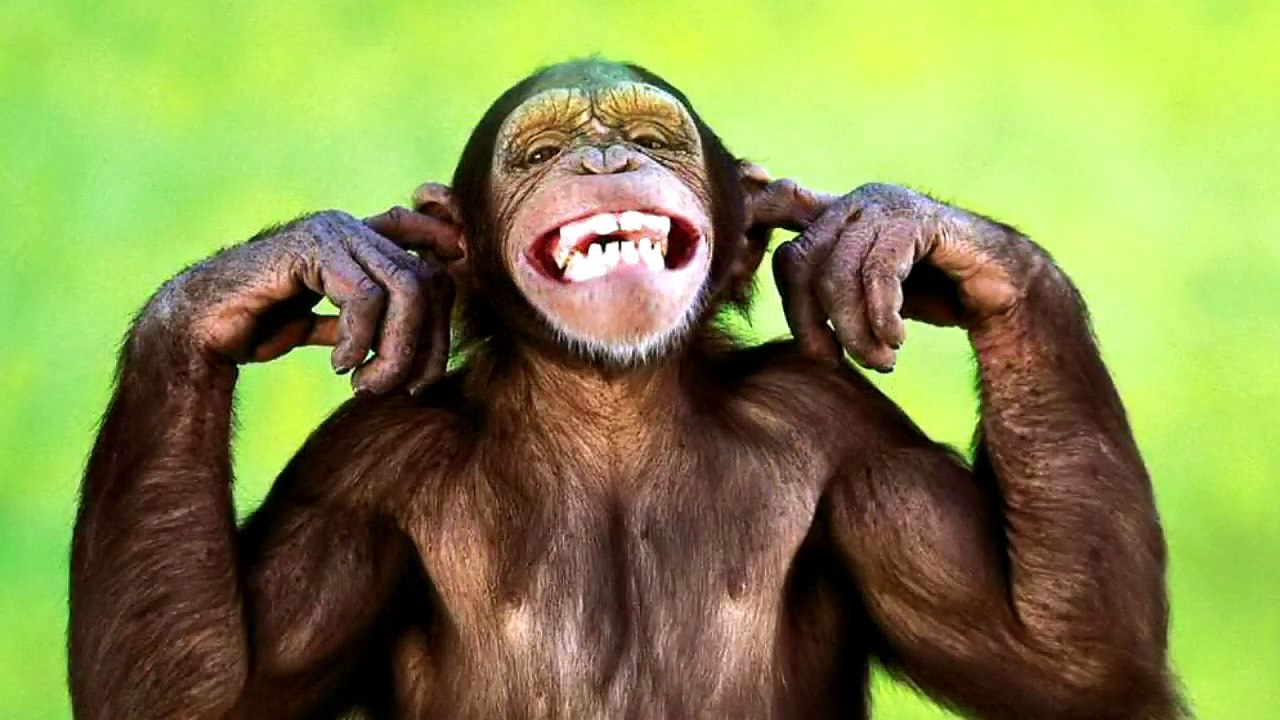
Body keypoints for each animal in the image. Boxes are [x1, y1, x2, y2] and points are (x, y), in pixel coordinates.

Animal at [69, 58, 1182, 719]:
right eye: (540, 151)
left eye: (650, 142)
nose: (603, 159)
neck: (607, 406)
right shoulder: (359, 469)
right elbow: (198, 697)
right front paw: (275, 272)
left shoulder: (838, 425)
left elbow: (1064, 665)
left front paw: (903, 230)